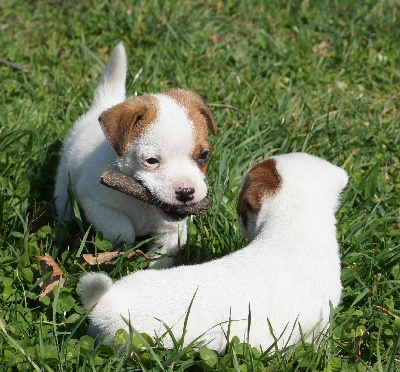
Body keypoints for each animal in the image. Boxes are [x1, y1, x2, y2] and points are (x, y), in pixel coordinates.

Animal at [54, 42, 217, 268]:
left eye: (204, 155)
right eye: (151, 161)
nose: (186, 192)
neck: (144, 205)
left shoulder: (172, 232)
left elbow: (163, 257)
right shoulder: (95, 203)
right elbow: (122, 229)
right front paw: (125, 249)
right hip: (64, 182)